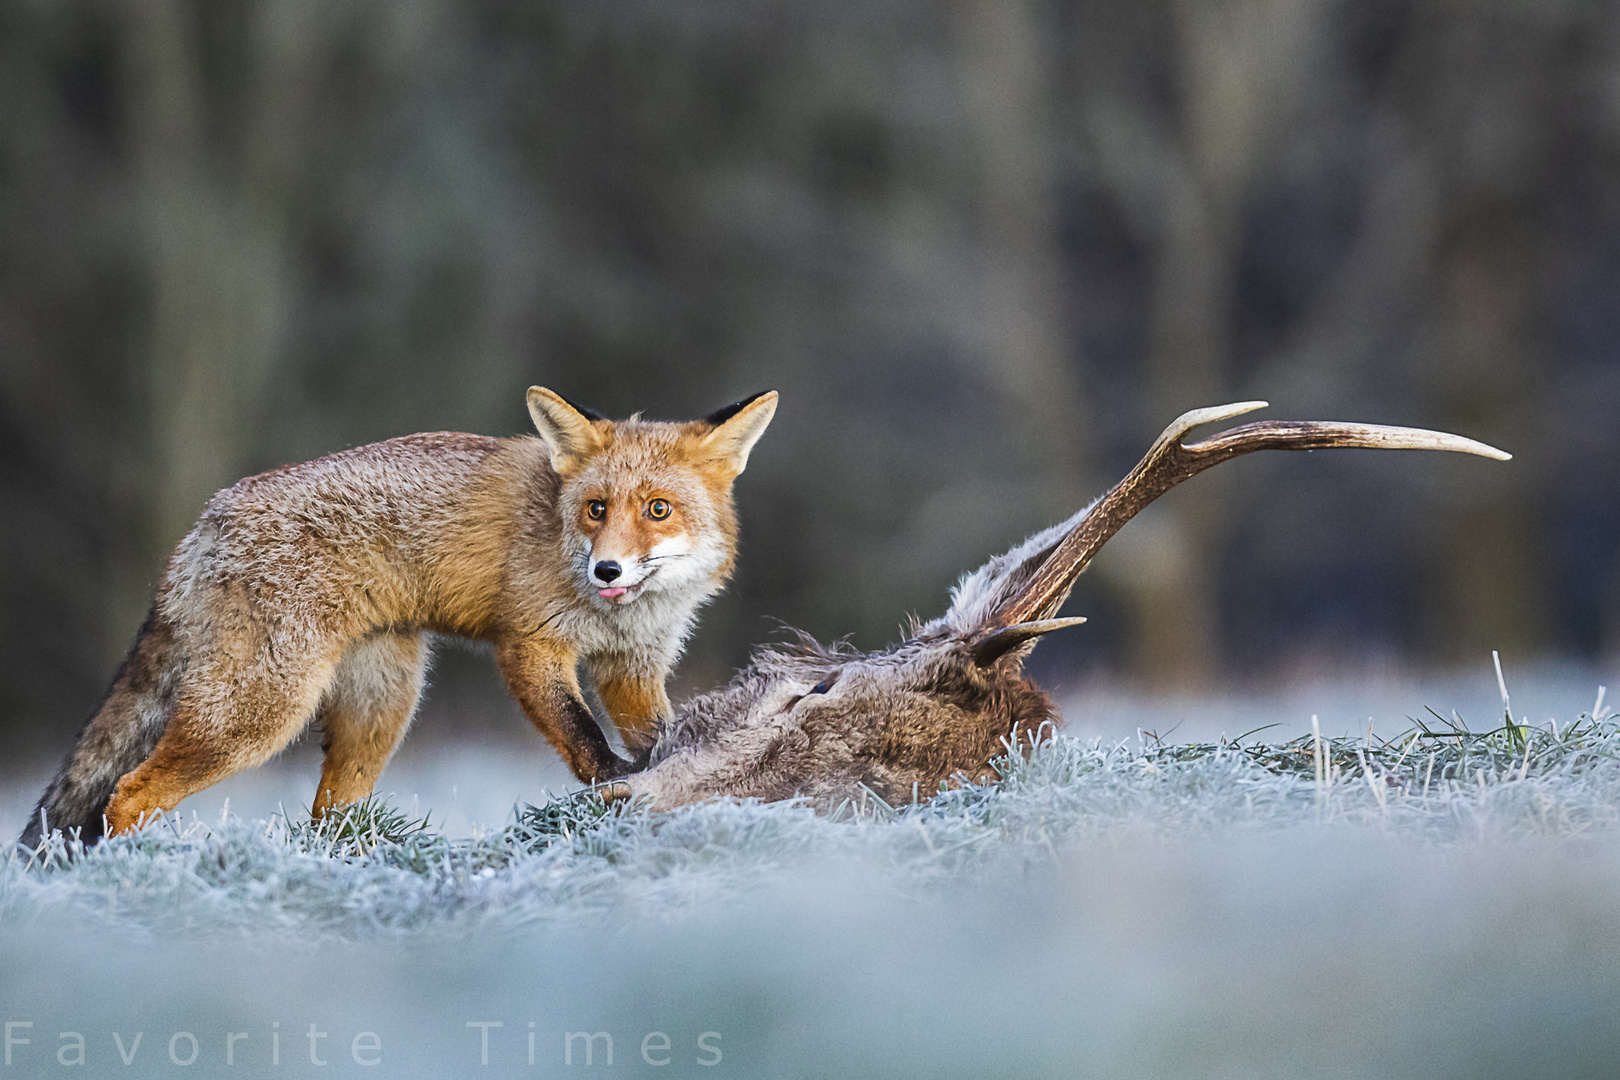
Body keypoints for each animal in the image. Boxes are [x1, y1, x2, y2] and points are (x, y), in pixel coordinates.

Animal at [19, 383, 777, 848]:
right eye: (596, 509)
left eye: (658, 510)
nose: (607, 570)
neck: (618, 617)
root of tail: (206, 520)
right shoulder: (530, 646)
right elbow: (586, 743)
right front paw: (624, 796)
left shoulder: (633, 667)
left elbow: (656, 735)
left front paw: (678, 773)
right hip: (260, 711)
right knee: (128, 791)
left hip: (382, 708)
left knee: (327, 819)